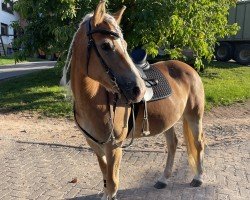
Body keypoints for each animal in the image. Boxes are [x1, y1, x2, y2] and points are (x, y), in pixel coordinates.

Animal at [61, 0, 205, 199]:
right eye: (106, 46)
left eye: (125, 44)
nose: (139, 89)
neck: (94, 101)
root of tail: (189, 68)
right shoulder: (95, 145)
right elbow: (105, 176)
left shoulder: (114, 147)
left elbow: (112, 183)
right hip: (169, 120)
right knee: (173, 145)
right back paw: (163, 179)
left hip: (194, 116)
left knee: (198, 144)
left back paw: (198, 177)